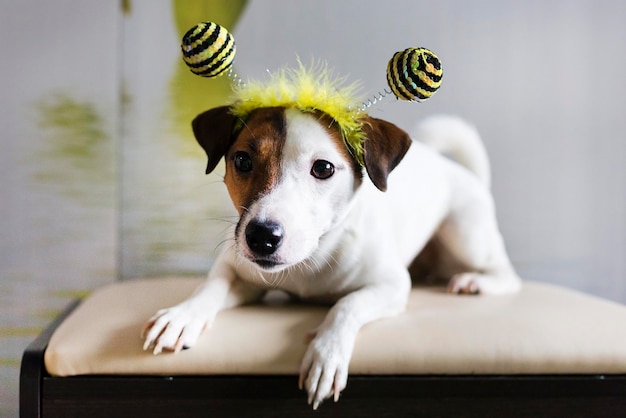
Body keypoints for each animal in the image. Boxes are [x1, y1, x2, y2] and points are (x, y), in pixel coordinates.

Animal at [141, 106, 516, 410]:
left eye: (323, 168)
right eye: (243, 161)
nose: (261, 237)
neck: (311, 258)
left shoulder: (391, 285)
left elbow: (347, 305)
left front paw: (327, 352)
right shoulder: (241, 273)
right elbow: (211, 286)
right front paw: (183, 315)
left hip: (466, 236)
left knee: (507, 275)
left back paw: (475, 281)